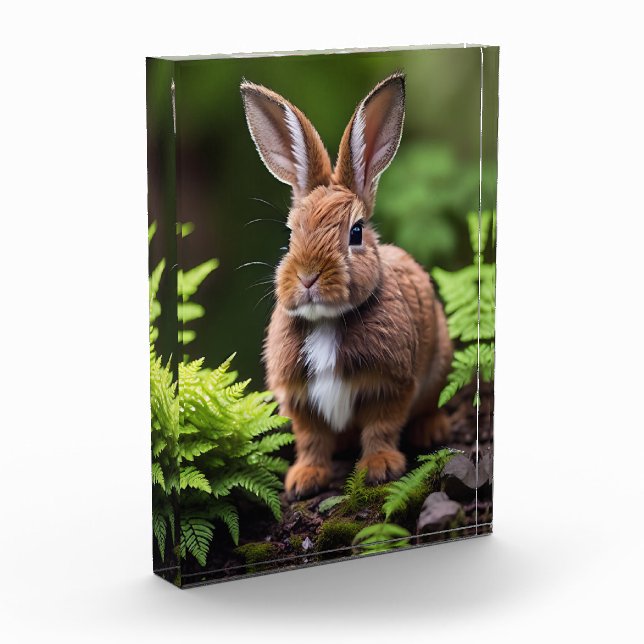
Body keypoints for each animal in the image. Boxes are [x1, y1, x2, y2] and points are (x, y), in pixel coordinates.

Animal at [240, 72, 453, 499]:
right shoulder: (300, 398)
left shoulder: (390, 385)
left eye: (355, 232)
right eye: (290, 236)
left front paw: (380, 468)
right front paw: (304, 479)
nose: (308, 276)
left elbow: (380, 428)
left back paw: (432, 429)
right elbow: (312, 439)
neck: (326, 320)